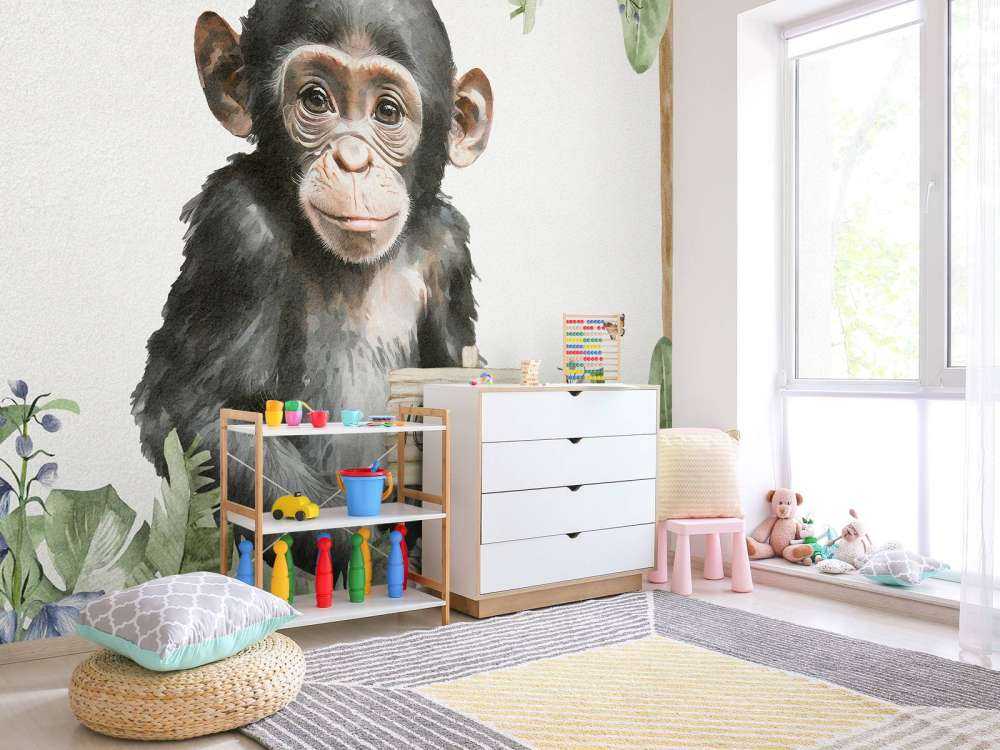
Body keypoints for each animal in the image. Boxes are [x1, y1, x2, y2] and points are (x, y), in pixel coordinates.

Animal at [131, 0, 493, 571]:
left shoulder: (450, 249)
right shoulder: (236, 228)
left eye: (387, 113)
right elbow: (198, 412)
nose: (352, 160)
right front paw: (373, 549)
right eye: (316, 100)